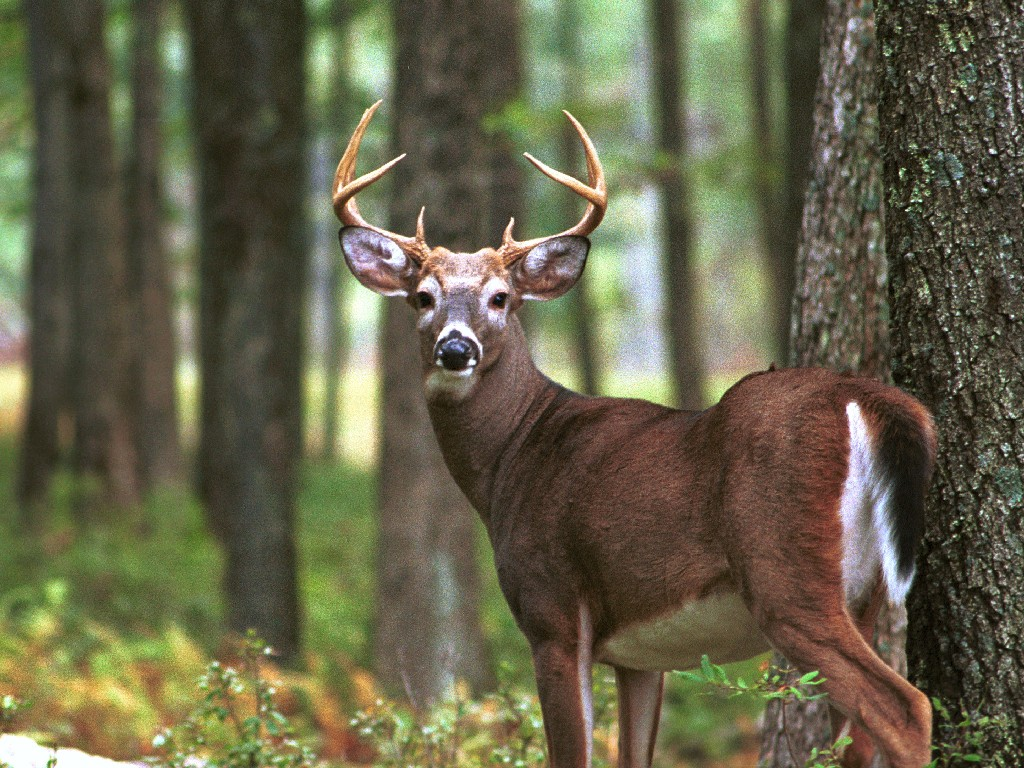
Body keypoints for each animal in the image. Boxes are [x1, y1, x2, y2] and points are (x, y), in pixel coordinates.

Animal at [332, 101, 935, 768]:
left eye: (501, 298)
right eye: (422, 297)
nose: (456, 348)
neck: (513, 456)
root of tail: (864, 396)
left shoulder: (553, 611)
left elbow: (570, 754)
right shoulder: (640, 657)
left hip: (788, 570)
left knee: (905, 707)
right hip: (865, 593)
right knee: (859, 734)